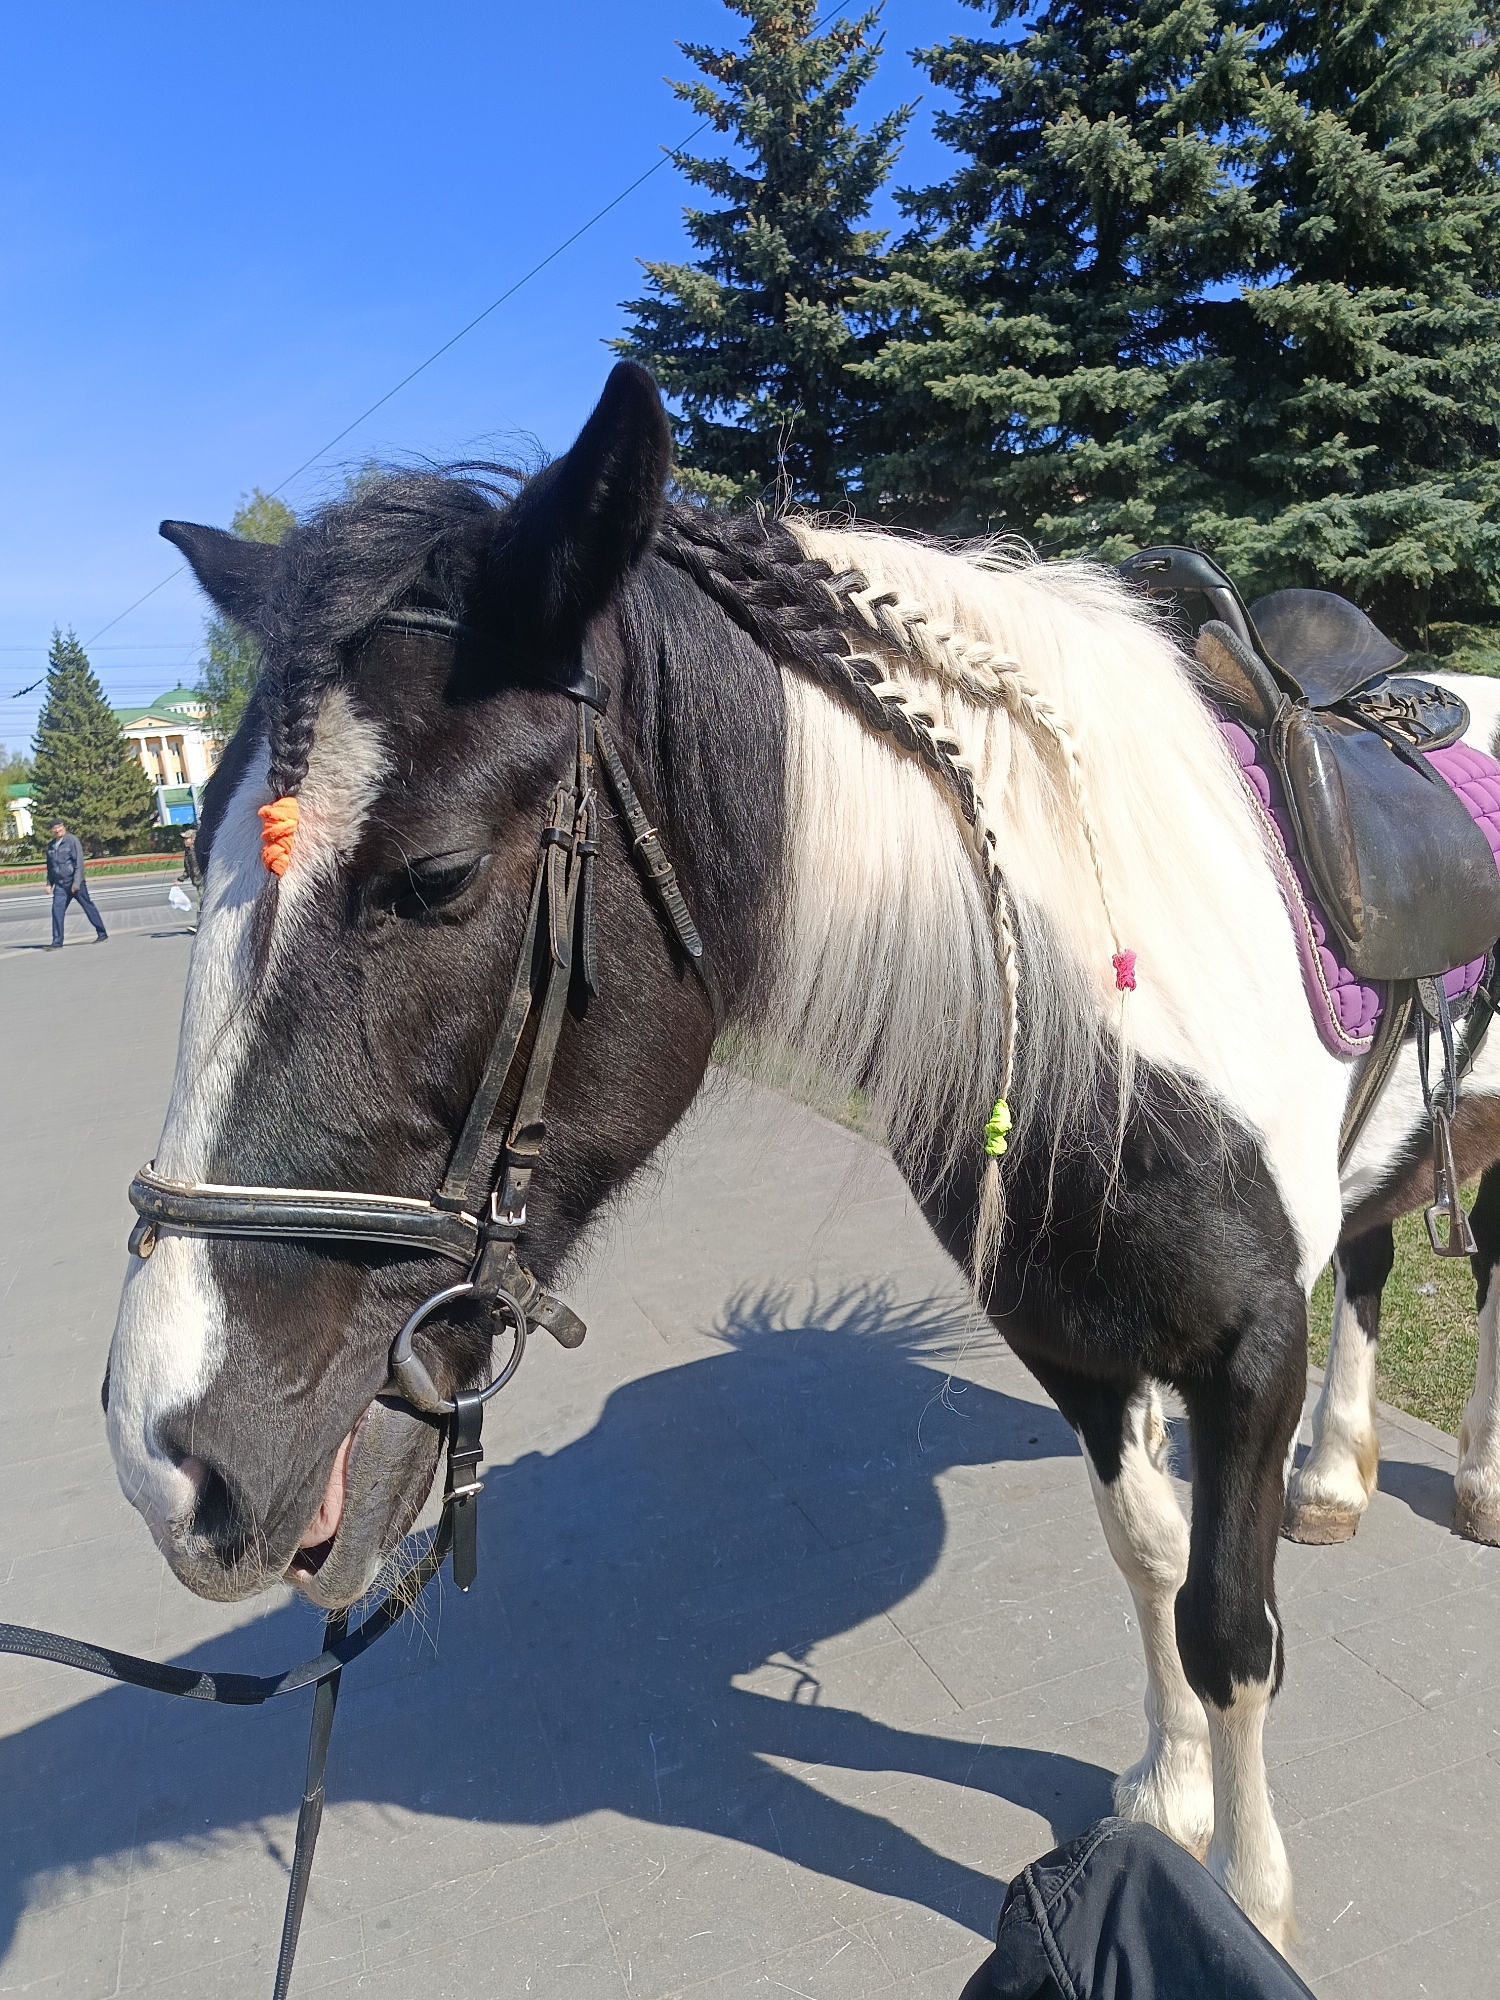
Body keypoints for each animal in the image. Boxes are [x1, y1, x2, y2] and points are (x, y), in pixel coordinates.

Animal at [101, 361, 1500, 1954]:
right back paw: (1338, 1477)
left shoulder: (1249, 1345)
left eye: (437, 875)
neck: (1105, 1005)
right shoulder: (1071, 1334)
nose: (170, 1459)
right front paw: (1167, 1796)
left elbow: (1228, 1625)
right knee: (1381, 1253)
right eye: (192, 855)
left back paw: (1467, 1478)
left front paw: (1251, 1900)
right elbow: (1149, 1555)